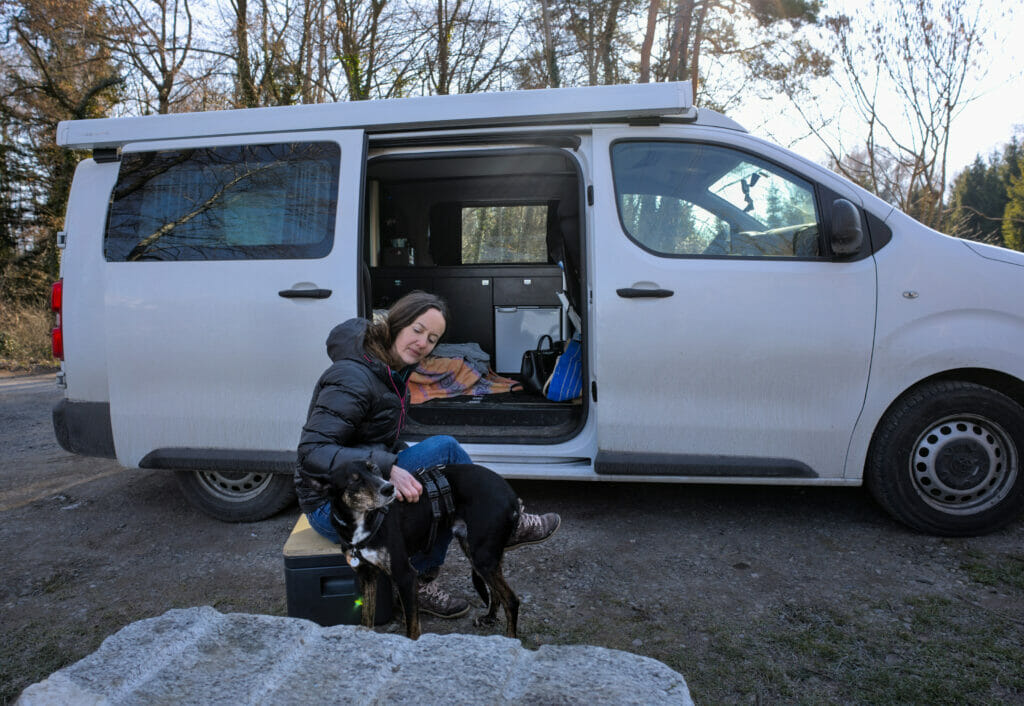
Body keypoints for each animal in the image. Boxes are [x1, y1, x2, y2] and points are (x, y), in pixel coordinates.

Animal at [296, 457, 520, 639]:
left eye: (374, 469)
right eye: (354, 480)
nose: (389, 488)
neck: (364, 521)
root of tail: (511, 496)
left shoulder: (405, 576)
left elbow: (412, 629)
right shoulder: (367, 576)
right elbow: (367, 618)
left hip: (482, 555)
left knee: (511, 600)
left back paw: (510, 639)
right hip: (477, 553)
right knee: (496, 592)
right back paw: (489, 618)